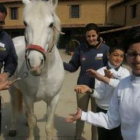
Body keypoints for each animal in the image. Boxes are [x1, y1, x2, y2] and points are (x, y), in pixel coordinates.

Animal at [8, 0, 64, 140]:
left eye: (51, 24)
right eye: (25, 23)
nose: (35, 63)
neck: (44, 75)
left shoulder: (54, 100)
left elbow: (49, 127)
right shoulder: (28, 98)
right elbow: (33, 121)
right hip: (12, 89)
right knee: (13, 106)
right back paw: (12, 128)